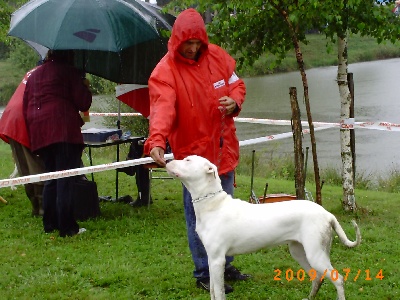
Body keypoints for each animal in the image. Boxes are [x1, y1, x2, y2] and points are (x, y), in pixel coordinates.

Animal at [166, 156, 362, 298]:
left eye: (188, 160)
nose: (167, 160)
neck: (214, 204)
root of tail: (327, 214)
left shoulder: (217, 260)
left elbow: (219, 293)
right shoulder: (211, 258)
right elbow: (214, 290)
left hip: (315, 254)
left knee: (338, 280)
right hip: (300, 251)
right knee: (317, 278)